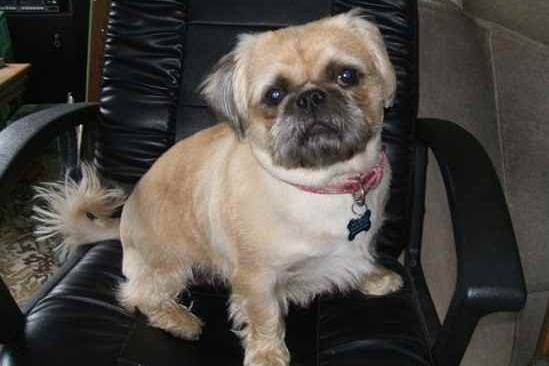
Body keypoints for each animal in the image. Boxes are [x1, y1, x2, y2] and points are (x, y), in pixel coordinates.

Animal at [34, 10, 402, 366]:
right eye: (274, 95)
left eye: (347, 76)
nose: (311, 97)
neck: (328, 183)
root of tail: (122, 224)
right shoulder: (257, 280)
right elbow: (265, 318)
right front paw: (268, 355)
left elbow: (361, 259)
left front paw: (375, 277)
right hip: (170, 266)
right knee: (139, 296)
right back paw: (179, 320)